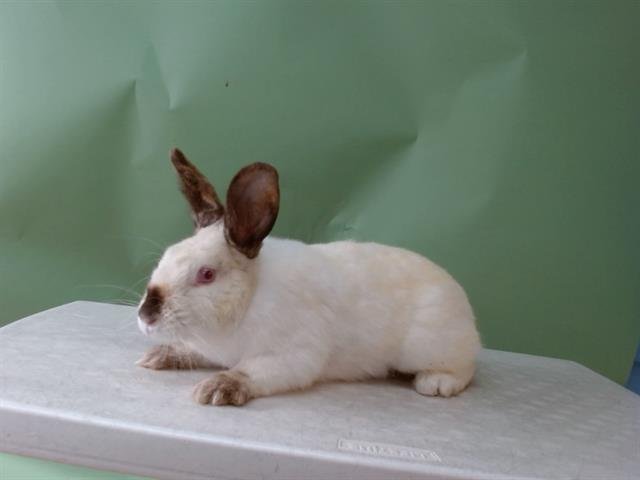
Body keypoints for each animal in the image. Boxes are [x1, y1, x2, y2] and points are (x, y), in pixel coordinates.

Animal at [136, 148, 481, 406]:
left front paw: (216, 388)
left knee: (467, 367)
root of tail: (464, 305)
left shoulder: (292, 356)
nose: (145, 315)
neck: (249, 298)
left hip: (431, 346)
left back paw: (436, 383)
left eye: (206, 274)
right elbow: (191, 350)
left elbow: (250, 372)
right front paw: (158, 356)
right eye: (166, 256)